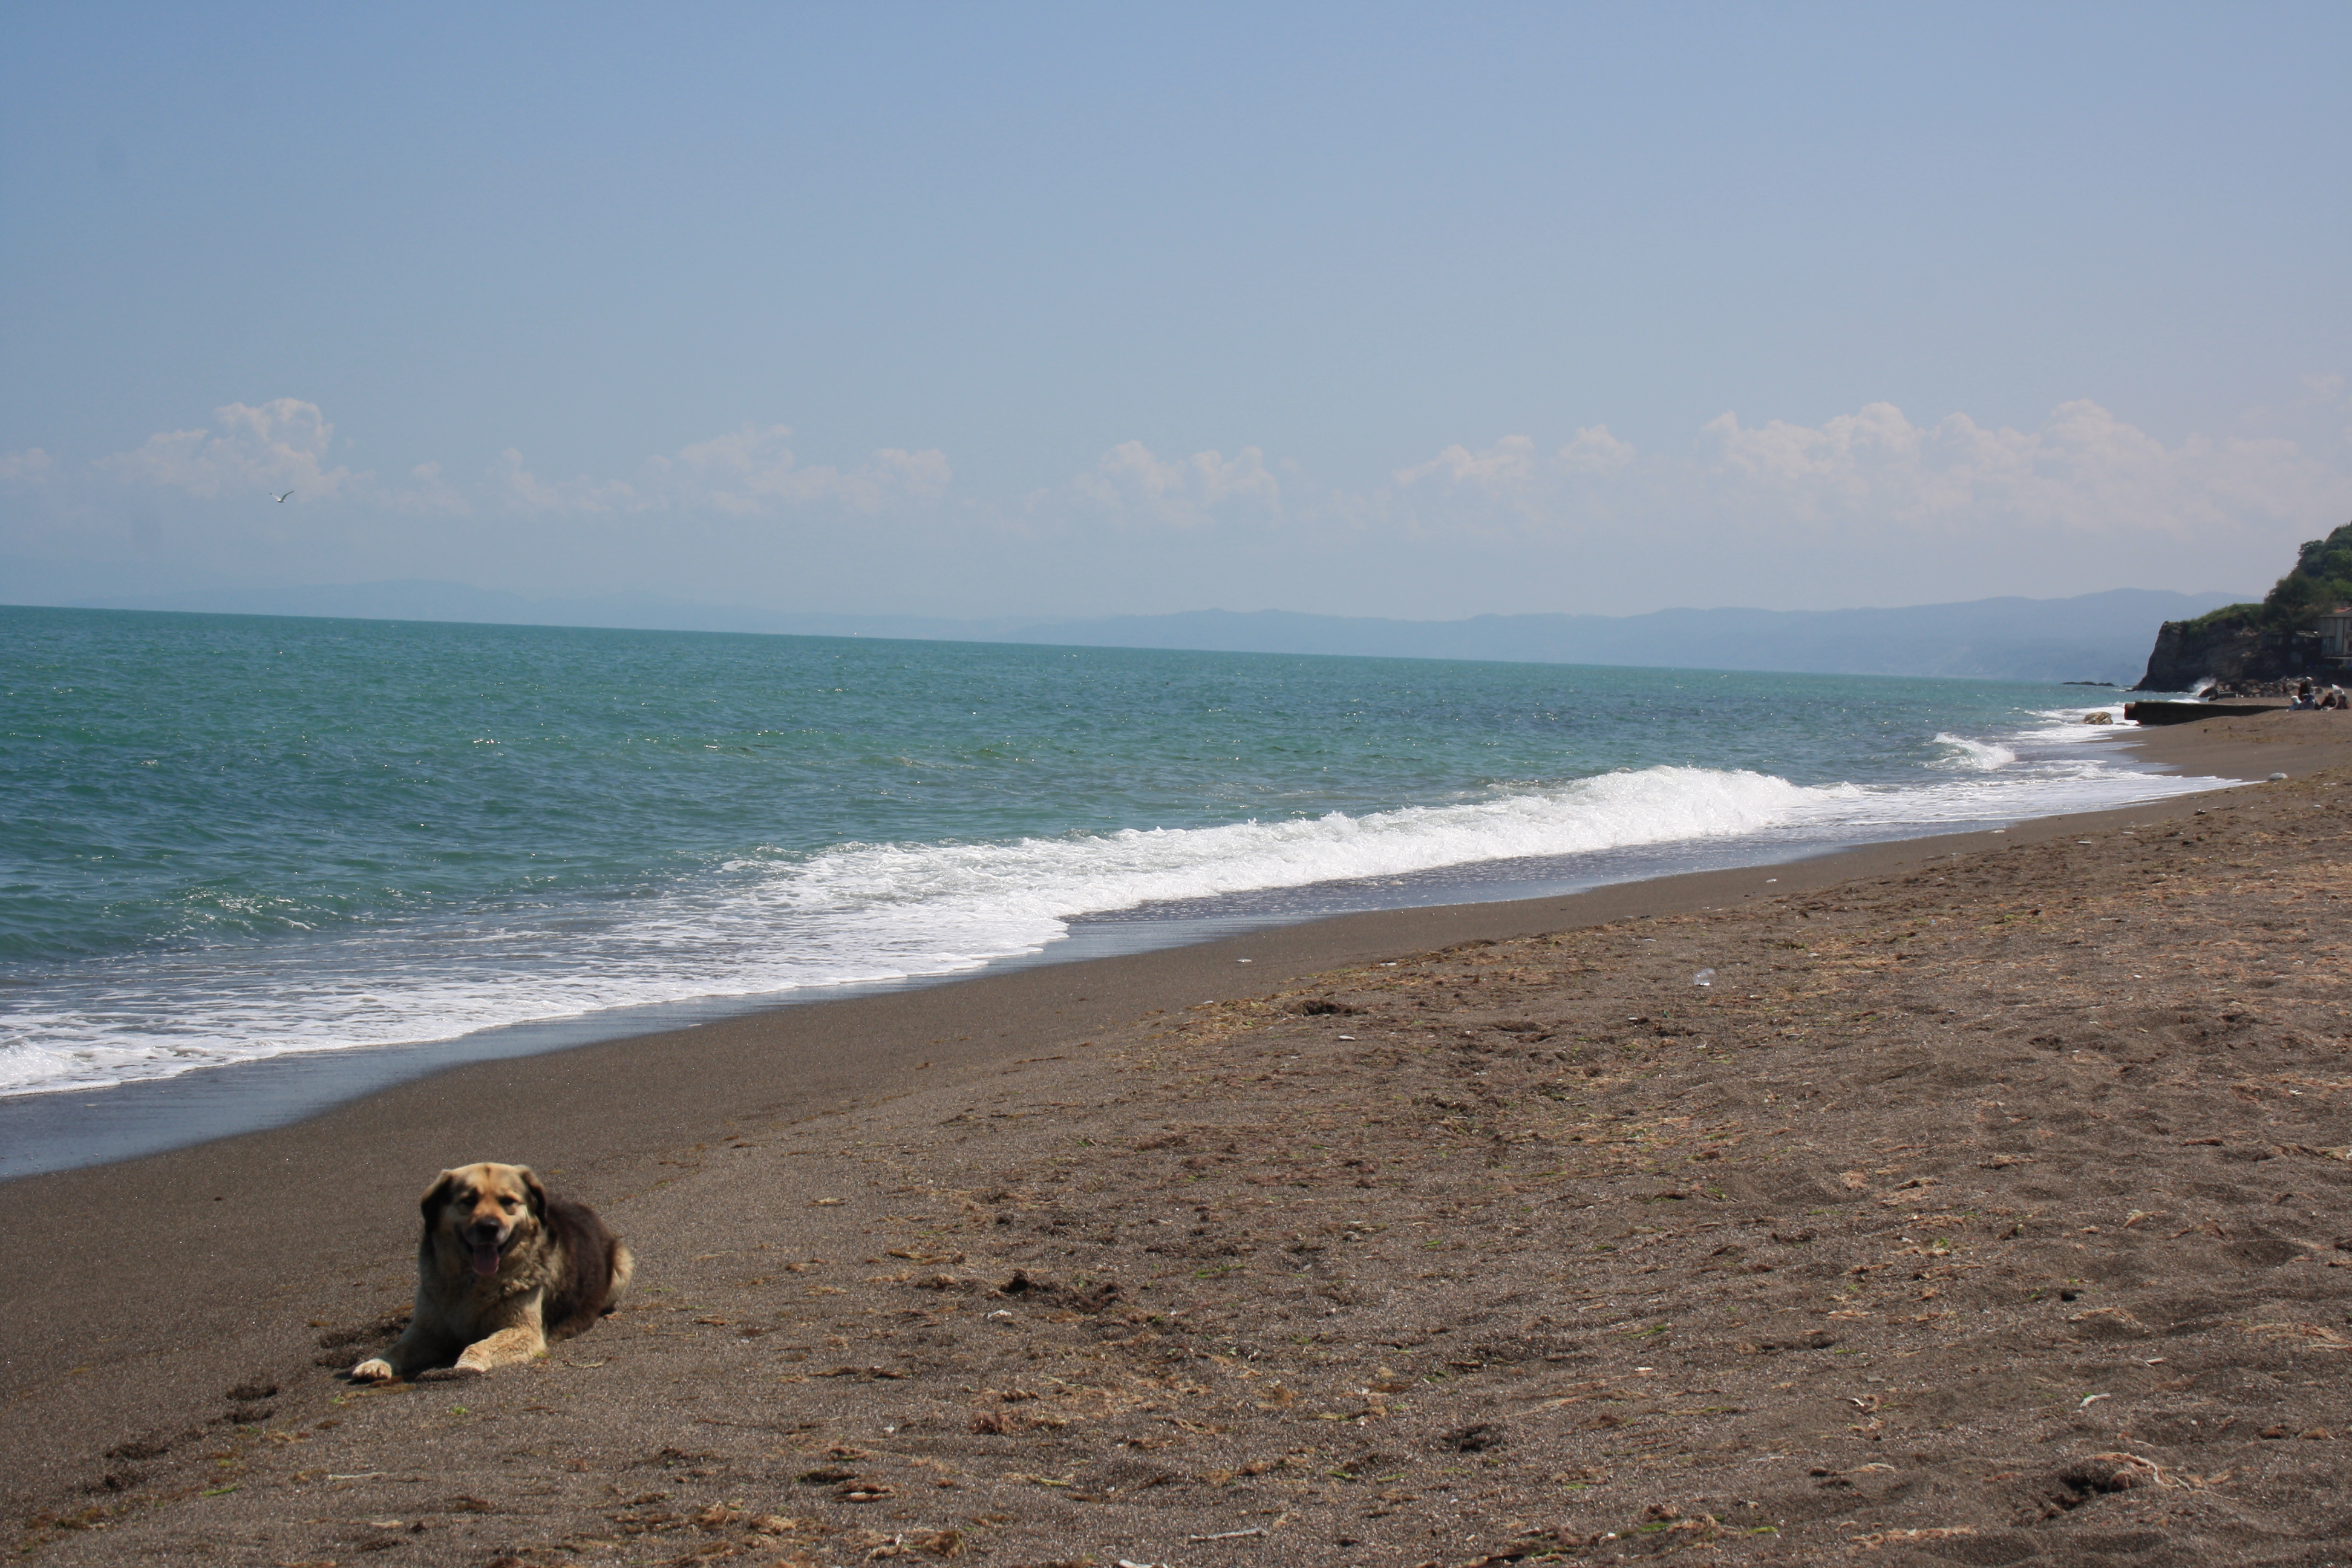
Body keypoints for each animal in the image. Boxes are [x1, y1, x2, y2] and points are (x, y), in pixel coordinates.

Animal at [348, 1161, 635, 1382]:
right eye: (469, 1201)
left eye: (508, 1201)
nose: (488, 1227)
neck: (474, 1282)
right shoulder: (426, 1329)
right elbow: (399, 1347)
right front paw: (377, 1362)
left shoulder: (523, 1330)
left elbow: (480, 1344)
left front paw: (466, 1365)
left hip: (623, 1265)